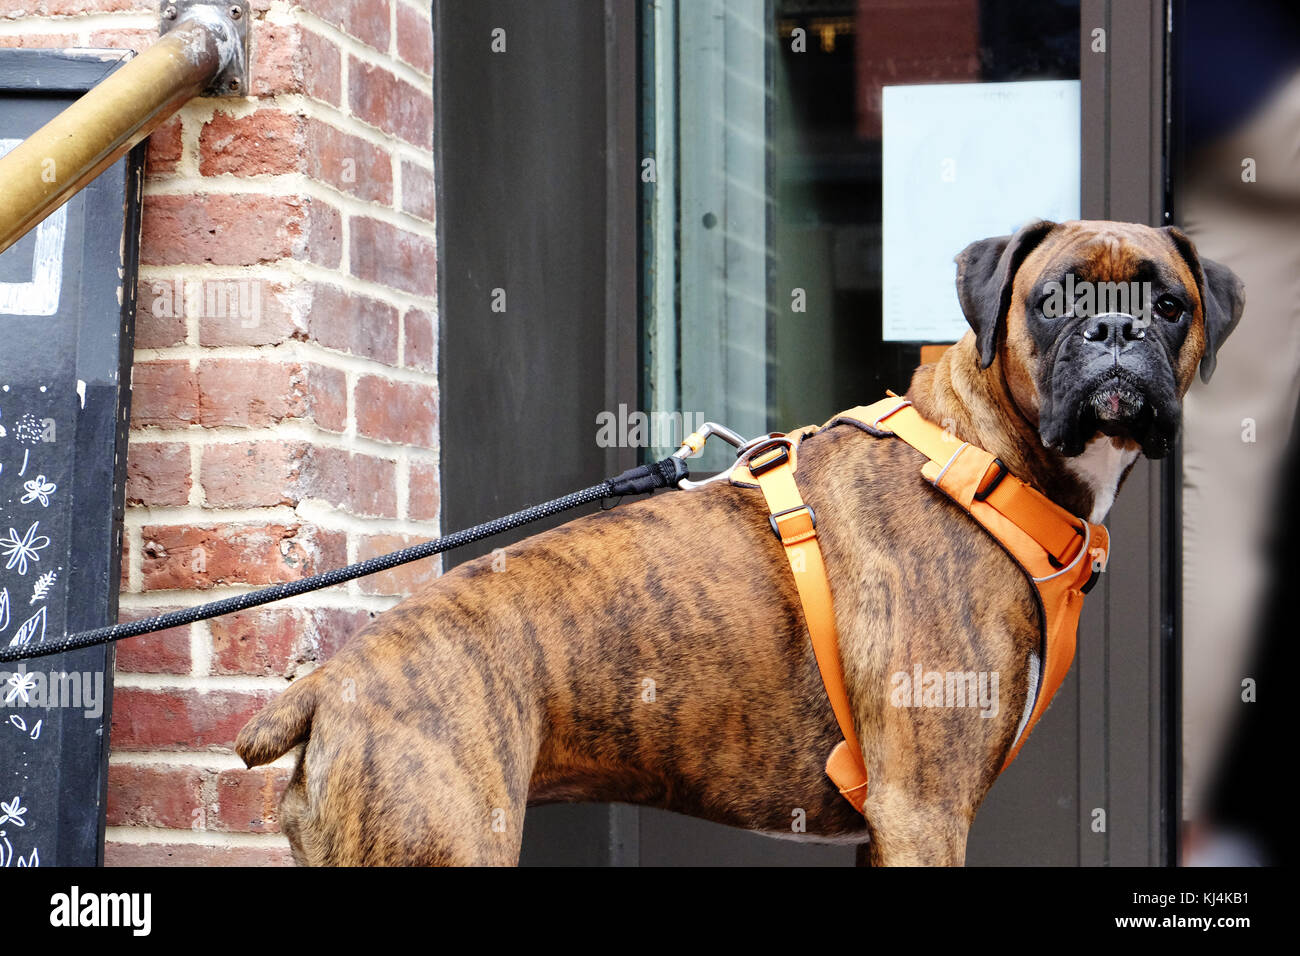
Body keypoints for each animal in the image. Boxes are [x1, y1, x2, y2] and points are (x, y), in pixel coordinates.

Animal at [236, 222, 1248, 868]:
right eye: (1051, 301)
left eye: (1168, 304)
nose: (1114, 328)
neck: (983, 459)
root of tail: (331, 684)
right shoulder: (924, 810)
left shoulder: (891, 825)